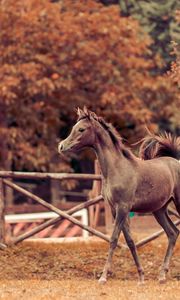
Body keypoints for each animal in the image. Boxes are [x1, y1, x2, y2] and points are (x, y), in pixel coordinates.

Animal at [58, 107, 180, 284]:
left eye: (81, 129)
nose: (61, 146)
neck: (117, 168)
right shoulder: (116, 209)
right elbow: (129, 241)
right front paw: (141, 277)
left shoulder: (123, 208)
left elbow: (114, 239)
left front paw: (103, 277)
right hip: (159, 210)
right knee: (172, 233)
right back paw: (162, 275)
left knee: (173, 232)